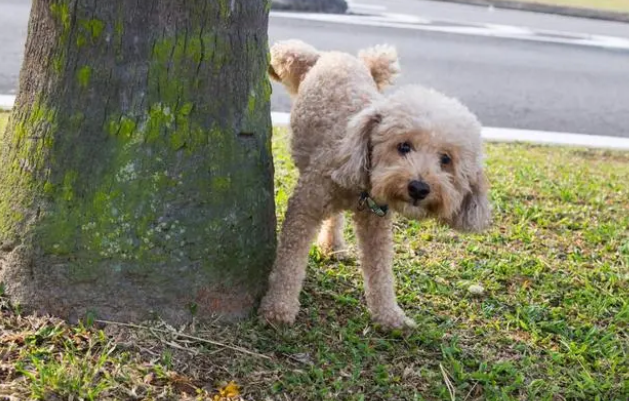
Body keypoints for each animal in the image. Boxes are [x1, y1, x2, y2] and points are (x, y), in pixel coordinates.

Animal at [258, 40, 490, 328]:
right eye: (404, 146)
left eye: (446, 159)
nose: (419, 188)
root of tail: (336, 56)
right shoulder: (305, 205)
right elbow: (290, 260)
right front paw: (278, 307)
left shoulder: (376, 222)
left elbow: (380, 271)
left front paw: (389, 315)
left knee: (335, 218)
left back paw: (333, 245)